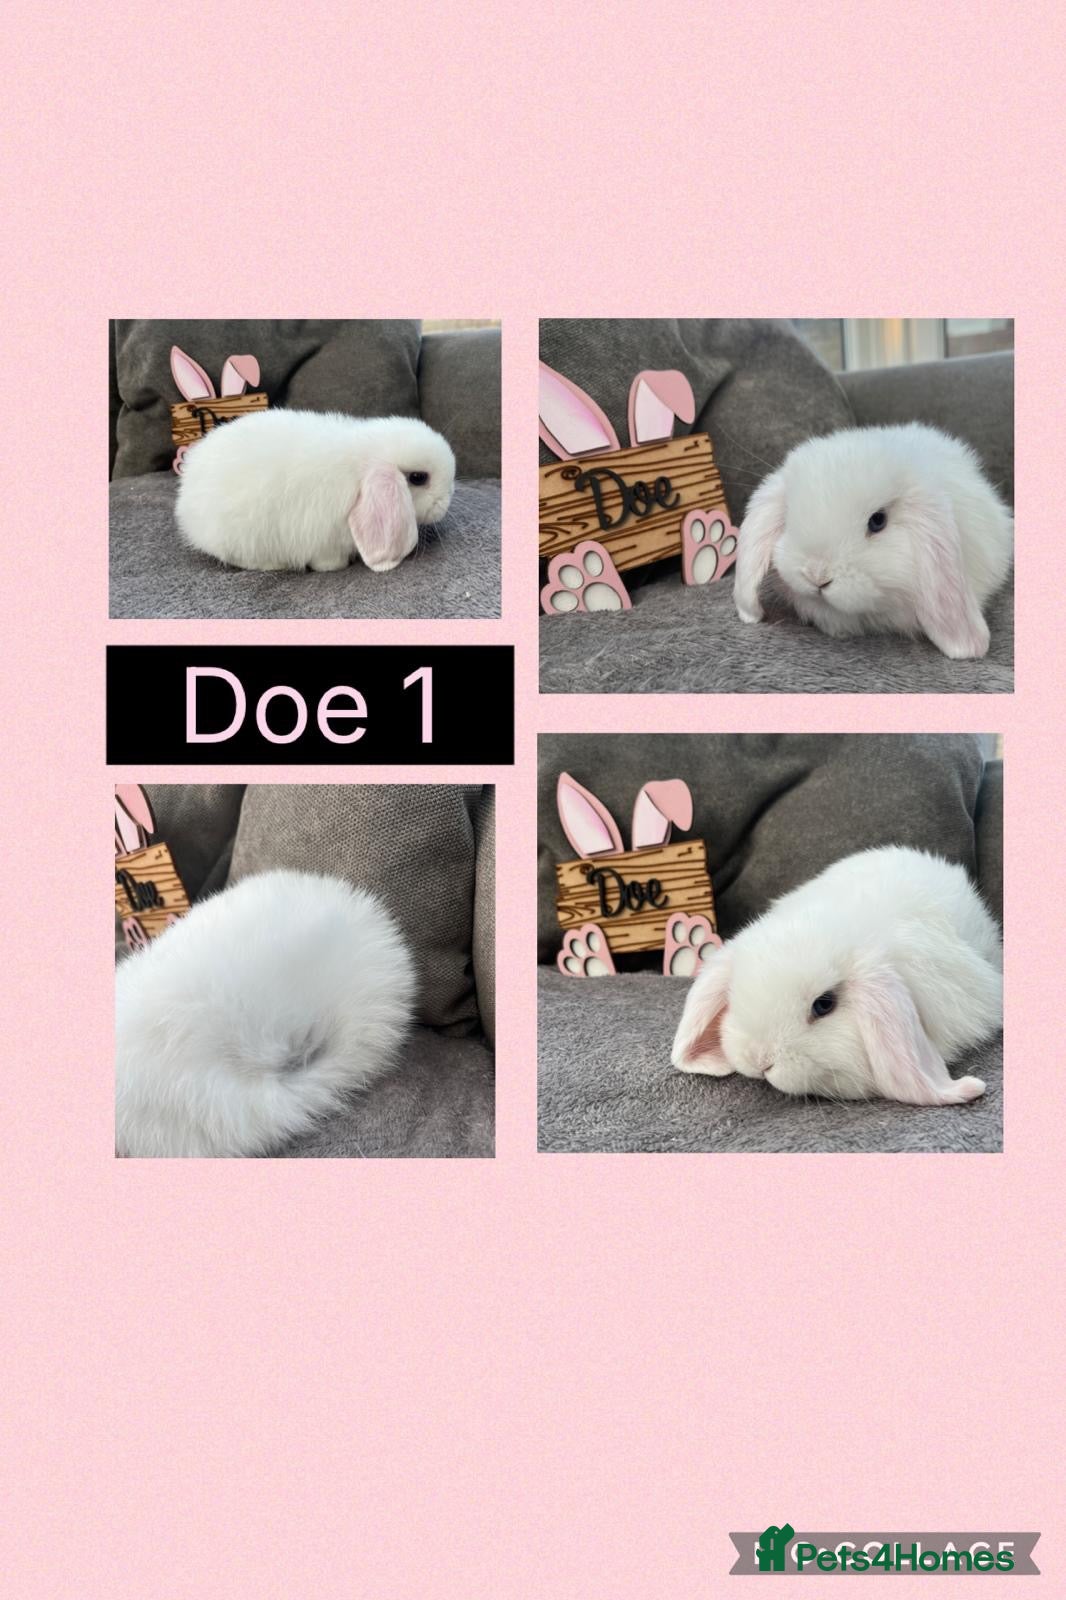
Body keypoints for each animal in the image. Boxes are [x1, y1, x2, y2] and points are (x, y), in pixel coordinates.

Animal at [175, 408, 456, 573]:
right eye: (418, 478)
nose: (447, 500)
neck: (362, 466)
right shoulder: (324, 540)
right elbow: (327, 561)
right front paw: (337, 567)